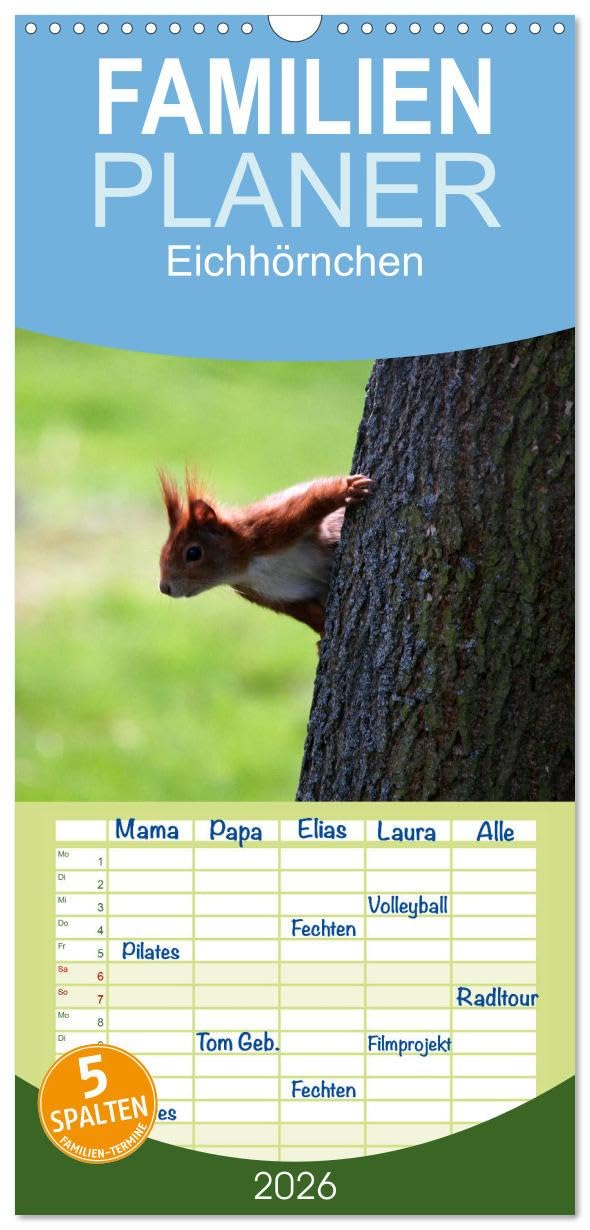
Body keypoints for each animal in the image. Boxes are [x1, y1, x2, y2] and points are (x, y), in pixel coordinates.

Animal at [158, 470, 373, 636]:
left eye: (193, 553)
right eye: (162, 551)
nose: (164, 588)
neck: (247, 567)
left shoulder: (271, 526)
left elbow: (314, 501)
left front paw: (347, 489)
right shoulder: (268, 595)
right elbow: (305, 613)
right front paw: (322, 636)